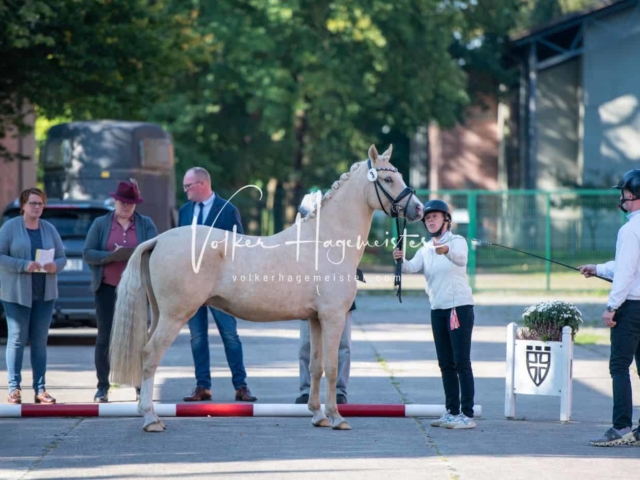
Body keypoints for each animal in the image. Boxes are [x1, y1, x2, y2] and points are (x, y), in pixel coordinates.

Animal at [109, 144, 424, 434]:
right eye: (387, 179)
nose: (419, 209)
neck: (325, 241)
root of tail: (159, 240)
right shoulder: (332, 317)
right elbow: (333, 368)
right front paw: (336, 418)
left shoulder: (315, 319)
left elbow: (316, 366)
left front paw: (318, 415)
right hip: (175, 316)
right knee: (150, 355)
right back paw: (151, 419)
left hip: (159, 314)